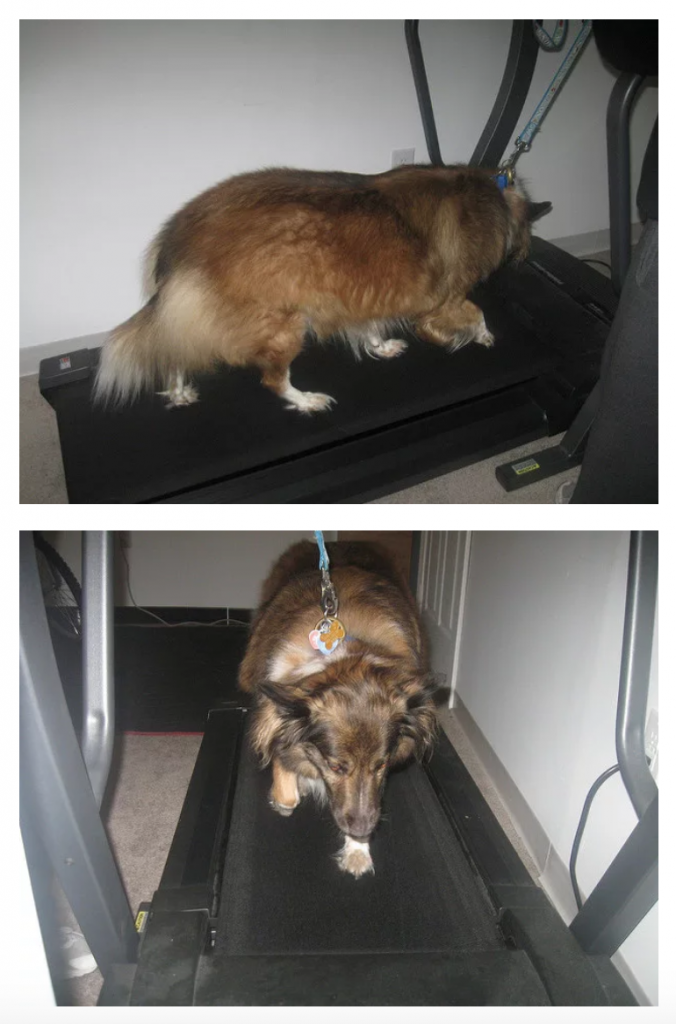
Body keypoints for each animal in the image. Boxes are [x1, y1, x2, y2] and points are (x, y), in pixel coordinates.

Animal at [93, 163, 548, 411]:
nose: (525, 256)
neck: (495, 192)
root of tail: (178, 235)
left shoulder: (366, 294)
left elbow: (370, 326)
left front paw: (381, 346)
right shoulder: (445, 298)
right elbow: (477, 312)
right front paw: (480, 337)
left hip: (199, 314)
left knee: (175, 348)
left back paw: (180, 391)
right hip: (283, 325)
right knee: (270, 379)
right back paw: (305, 399)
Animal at [237, 540, 438, 876]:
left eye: (381, 765)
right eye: (335, 767)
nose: (363, 830)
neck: (344, 654)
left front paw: (357, 849)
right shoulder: (277, 695)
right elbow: (282, 762)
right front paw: (288, 792)